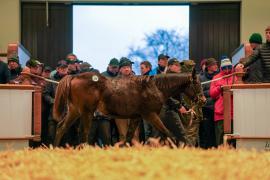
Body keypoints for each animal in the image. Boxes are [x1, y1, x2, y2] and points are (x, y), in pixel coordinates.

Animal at [52, 70, 205, 146]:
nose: (203, 100)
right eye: (196, 84)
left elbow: (129, 137)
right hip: (86, 112)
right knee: (83, 132)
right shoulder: (150, 115)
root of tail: (73, 76)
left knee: (61, 128)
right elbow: (168, 133)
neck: (155, 88)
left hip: (74, 111)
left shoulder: (136, 117)